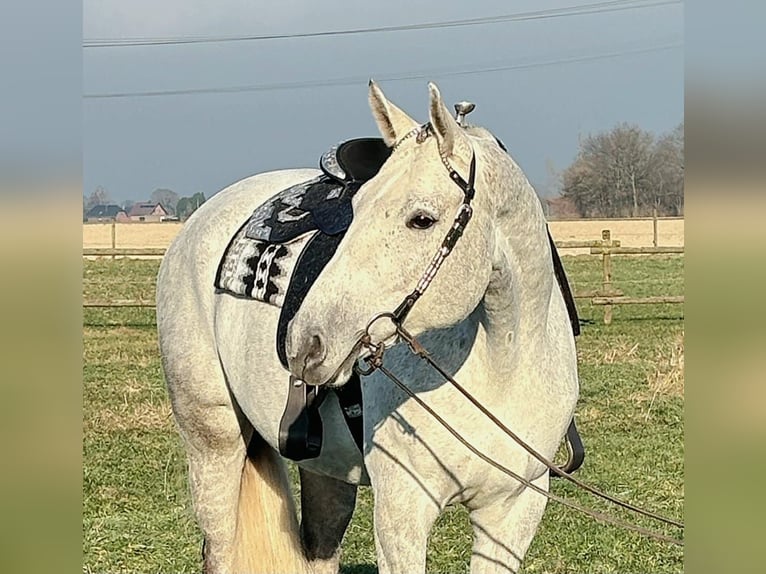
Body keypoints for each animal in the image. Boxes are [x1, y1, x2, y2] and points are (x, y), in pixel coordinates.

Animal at [159, 82, 584, 574]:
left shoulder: (514, 512)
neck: (503, 364)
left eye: (422, 219)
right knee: (220, 546)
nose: (305, 343)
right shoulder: (403, 511)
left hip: (324, 470)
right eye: (356, 209)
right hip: (214, 442)